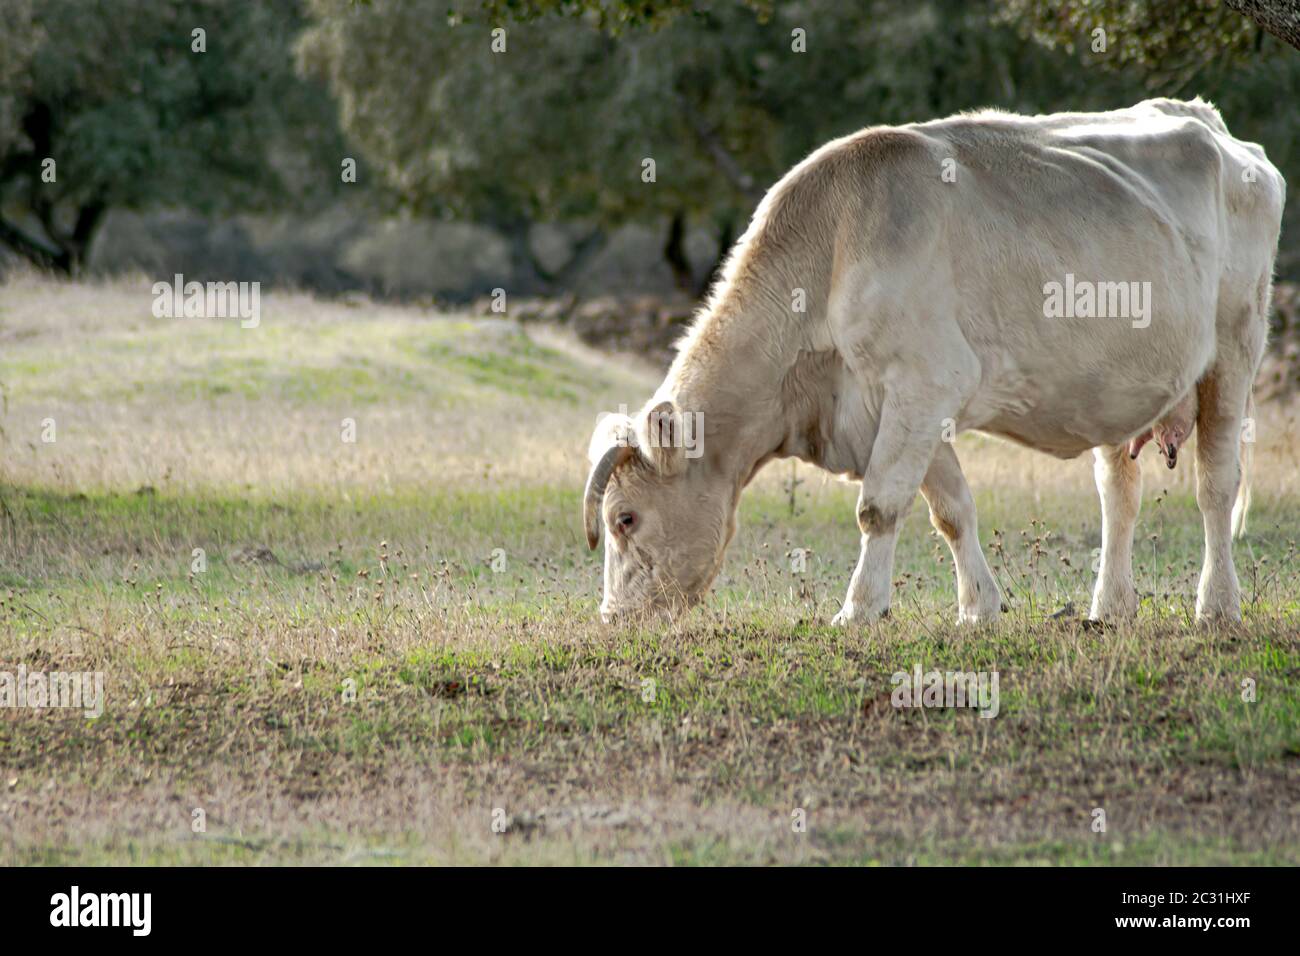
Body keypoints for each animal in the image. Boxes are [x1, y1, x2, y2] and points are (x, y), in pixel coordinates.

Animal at [583, 98, 1284, 627]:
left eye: (625, 518)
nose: (612, 618)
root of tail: (1211, 123)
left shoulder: (924, 382)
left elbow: (878, 507)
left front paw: (859, 611)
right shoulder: (899, 410)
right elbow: (951, 509)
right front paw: (979, 608)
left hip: (1235, 348)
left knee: (1217, 486)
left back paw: (1217, 607)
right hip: (1118, 387)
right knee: (1119, 494)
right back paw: (1109, 607)